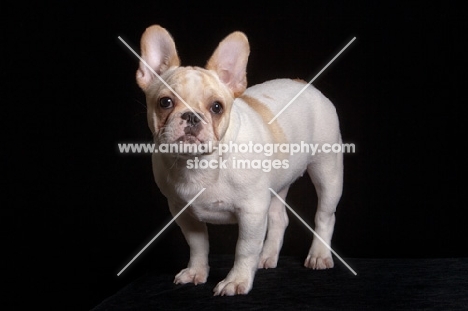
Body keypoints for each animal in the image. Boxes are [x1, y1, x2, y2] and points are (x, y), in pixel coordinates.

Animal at [135, 25, 344, 296]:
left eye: (216, 107)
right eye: (165, 102)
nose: (191, 116)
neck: (200, 163)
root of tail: (304, 84)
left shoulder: (252, 212)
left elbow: (244, 249)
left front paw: (237, 280)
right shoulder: (183, 212)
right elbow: (197, 245)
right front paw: (196, 272)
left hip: (327, 171)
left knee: (325, 216)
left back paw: (319, 255)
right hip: (277, 185)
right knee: (279, 219)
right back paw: (267, 256)